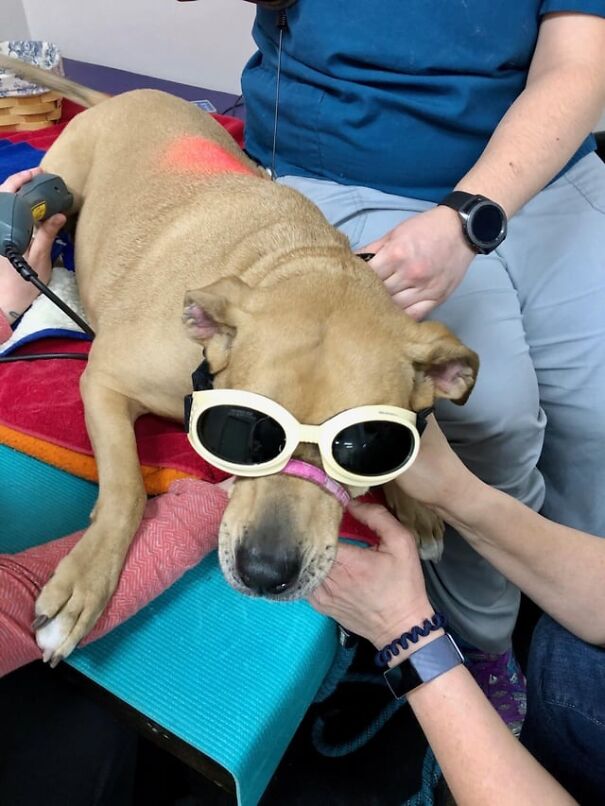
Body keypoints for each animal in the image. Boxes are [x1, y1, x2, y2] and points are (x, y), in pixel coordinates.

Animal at [0, 53, 478, 664]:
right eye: (243, 430)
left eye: (363, 445)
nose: (265, 573)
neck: (285, 260)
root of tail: (119, 97)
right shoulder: (103, 381)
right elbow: (127, 487)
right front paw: (84, 583)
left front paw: (414, 505)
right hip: (58, 188)